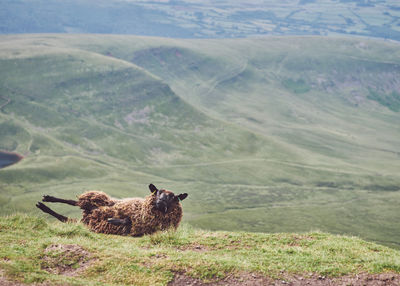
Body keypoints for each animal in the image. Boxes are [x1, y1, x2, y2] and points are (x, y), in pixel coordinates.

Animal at [35, 184, 188, 236]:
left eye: (173, 197)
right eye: (158, 192)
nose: (160, 201)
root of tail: (87, 215)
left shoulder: (136, 228)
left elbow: (127, 222)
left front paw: (112, 220)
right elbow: (126, 219)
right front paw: (114, 219)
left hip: (86, 221)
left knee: (64, 217)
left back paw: (43, 206)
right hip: (99, 202)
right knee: (73, 202)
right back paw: (47, 199)